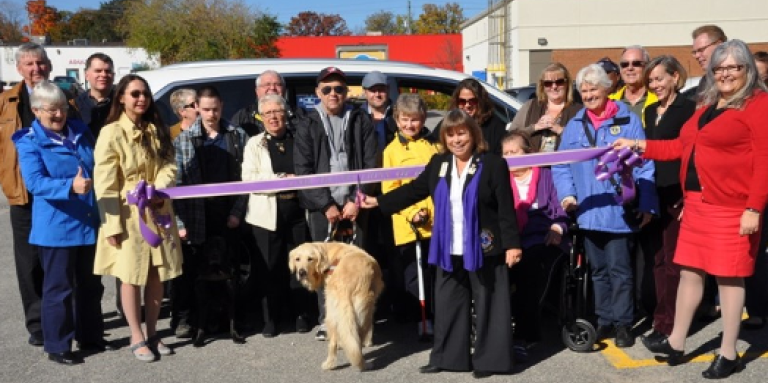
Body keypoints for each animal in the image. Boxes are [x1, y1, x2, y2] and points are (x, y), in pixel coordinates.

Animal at [288, 243, 384, 372]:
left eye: (310, 259)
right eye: (297, 259)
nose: (301, 272)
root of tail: (345, 286)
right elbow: (370, 328)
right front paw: (368, 342)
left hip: (332, 313)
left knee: (334, 343)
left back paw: (330, 363)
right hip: (362, 311)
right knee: (356, 342)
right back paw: (363, 363)